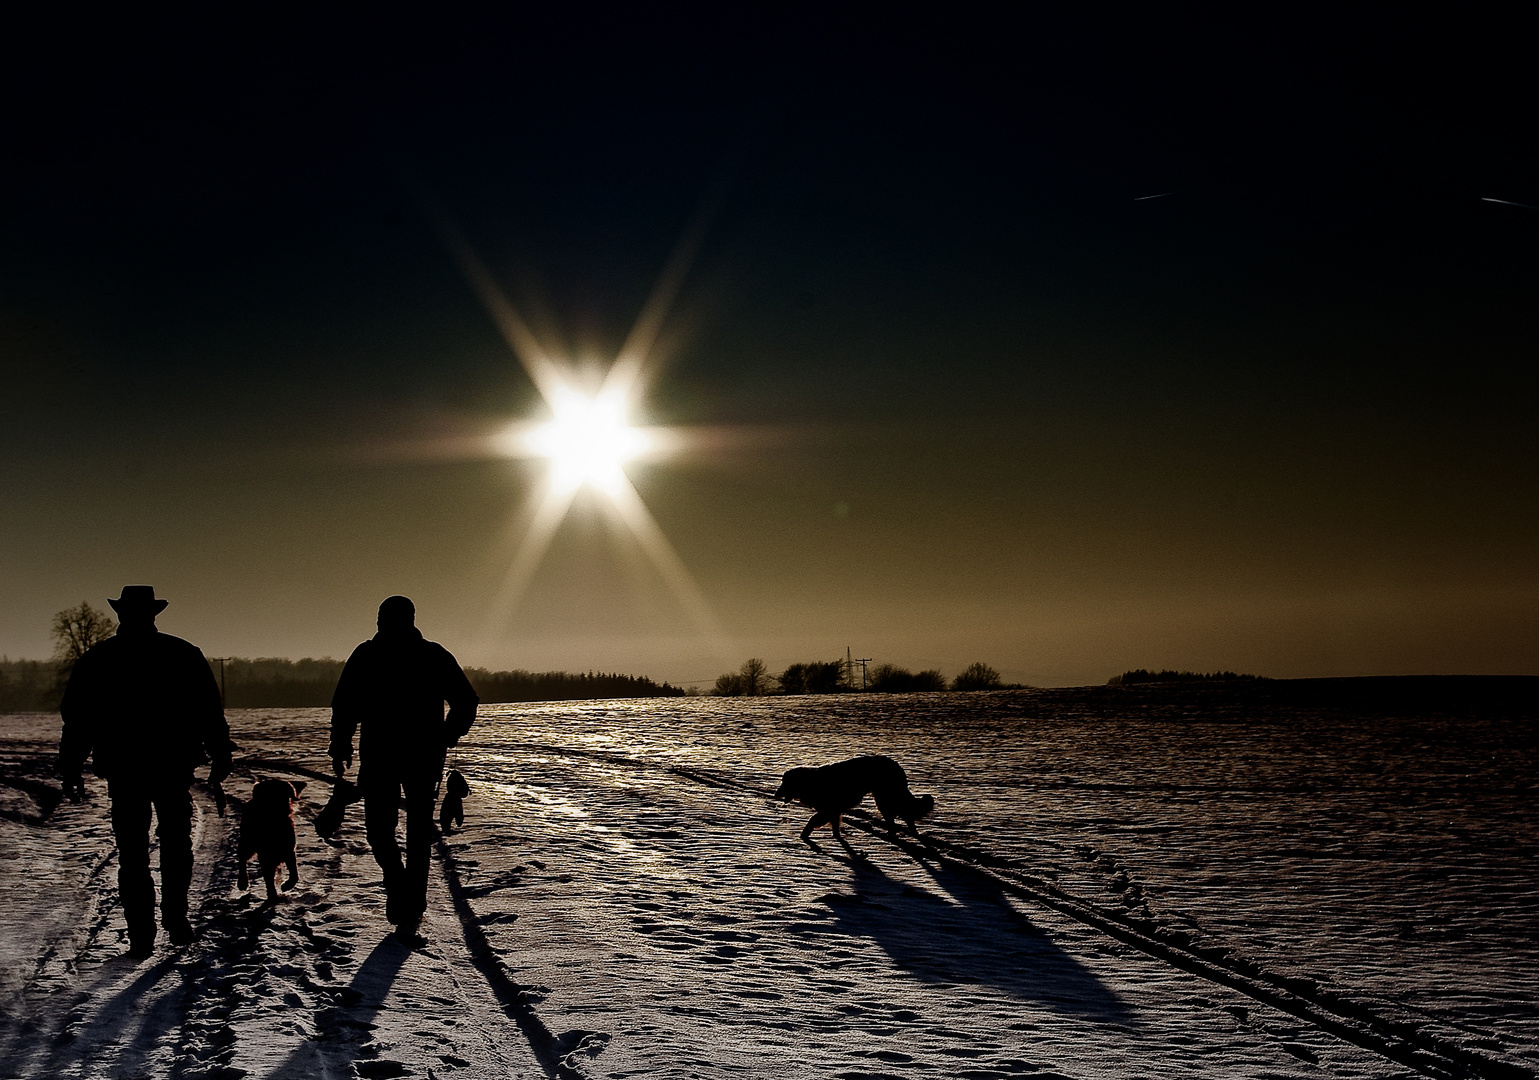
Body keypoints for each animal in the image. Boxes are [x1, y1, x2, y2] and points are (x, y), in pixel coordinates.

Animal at [775, 756, 929, 843]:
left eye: (785, 783)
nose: (776, 794)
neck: (810, 783)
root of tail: (897, 767)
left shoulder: (828, 810)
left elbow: (813, 820)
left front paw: (803, 835)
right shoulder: (833, 811)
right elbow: (835, 827)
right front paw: (837, 838)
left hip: (885, 799)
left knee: (901, 816)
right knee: (905, 815)